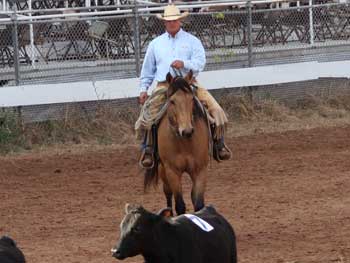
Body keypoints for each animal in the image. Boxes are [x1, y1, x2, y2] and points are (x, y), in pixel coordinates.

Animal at [144, 70, 209, 217]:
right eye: (172, 101)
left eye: (191, 99)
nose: (187, 131)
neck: (184, 143)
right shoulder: (172, 171)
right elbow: (180, 204)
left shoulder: (200, 170)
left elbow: (198, 203)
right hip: (162, 170)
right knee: (168, 193)